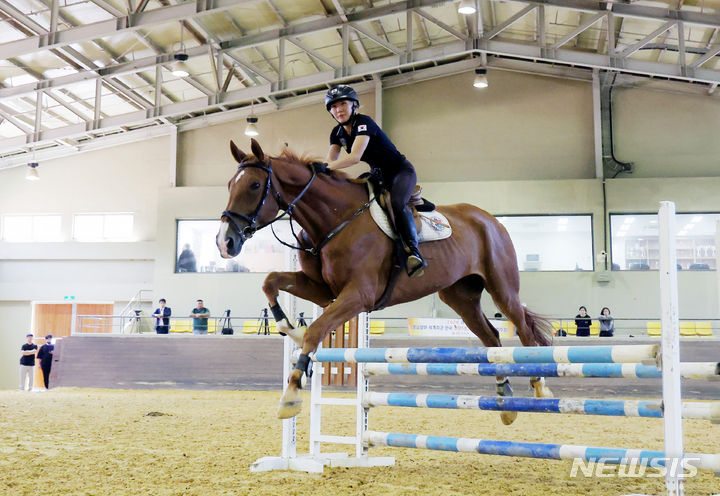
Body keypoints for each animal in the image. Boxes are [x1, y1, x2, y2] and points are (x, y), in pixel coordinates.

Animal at [214, 139, 552, 422]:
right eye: (229, 184)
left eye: (255, 185)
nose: (225, 242)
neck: (336, 218)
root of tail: (491, 220)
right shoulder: (323, 291)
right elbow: (270, 282)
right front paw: (288, 328)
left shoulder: (358, 295)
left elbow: (316, 332)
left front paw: (291, 396)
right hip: (461, 297)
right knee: (491, 338)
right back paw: (505, 399)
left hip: (501, 287)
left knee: (523, 330)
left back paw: (540, 388)